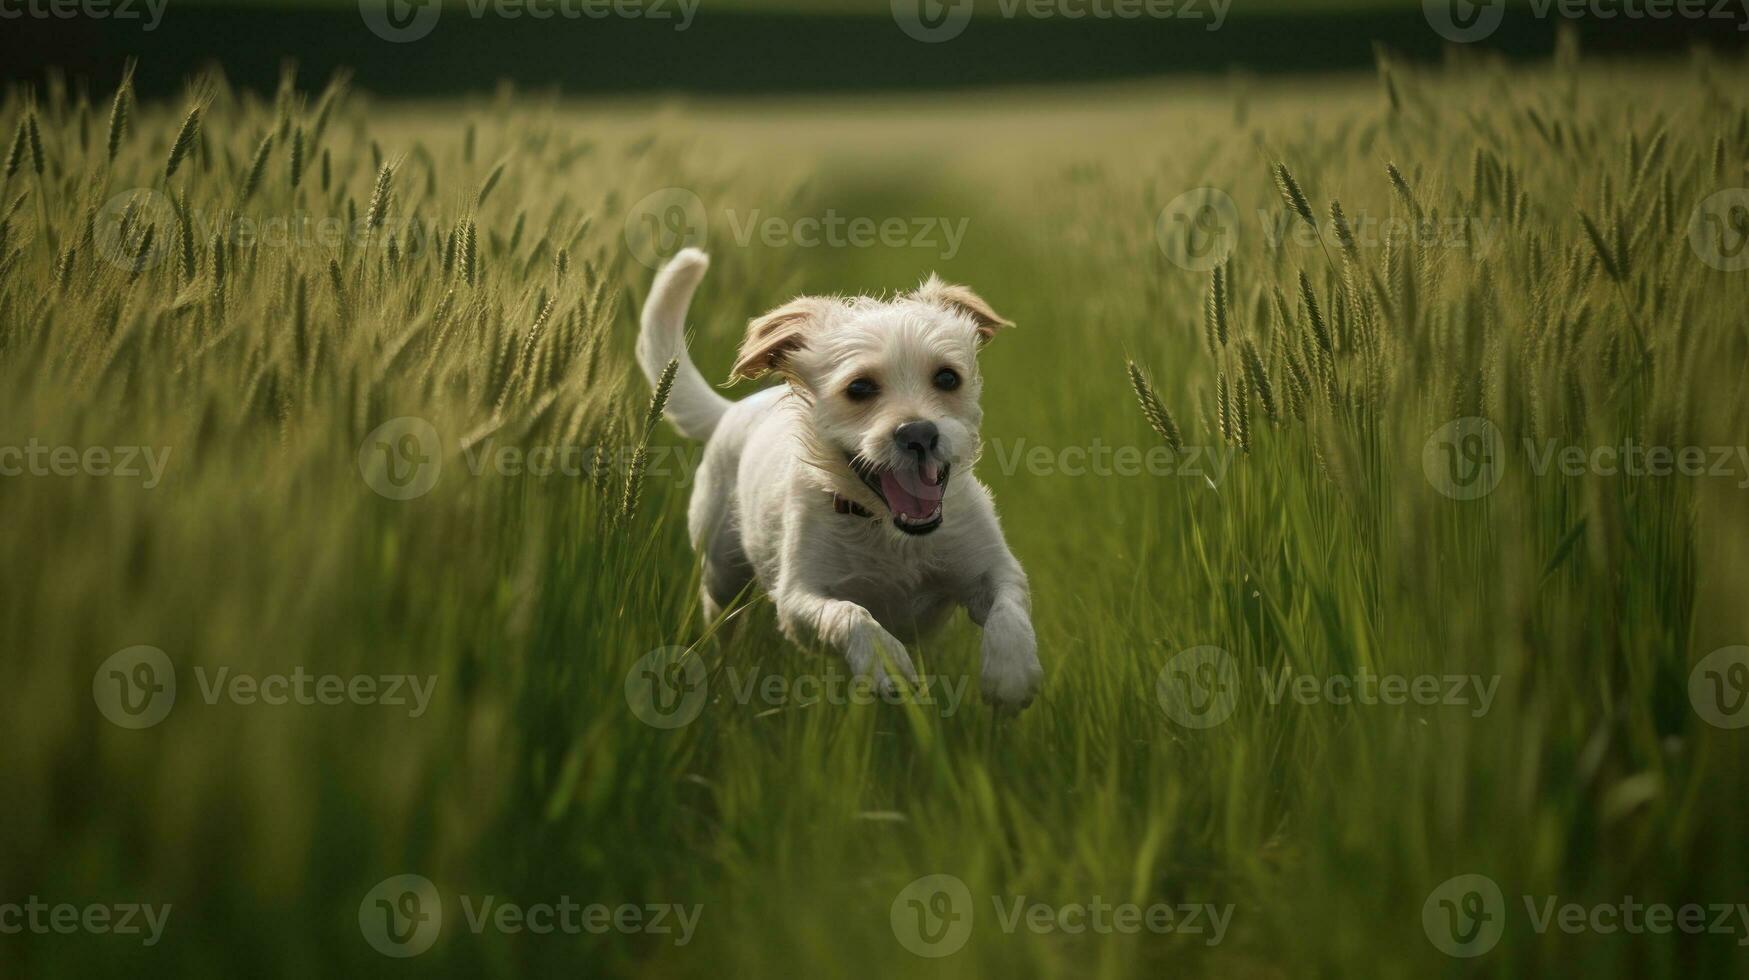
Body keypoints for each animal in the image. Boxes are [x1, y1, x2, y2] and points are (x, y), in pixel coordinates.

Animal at [636, 248, 1035, 707]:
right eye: (859, 388)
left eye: (948, 377)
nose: (918, 433)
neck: (888, 531)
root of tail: (733, 410)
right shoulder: (798, 600)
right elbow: (851, 615)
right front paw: (886, 661)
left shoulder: (994, 568)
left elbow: (1009, 607)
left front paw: (1011, 672)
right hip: (722, 573)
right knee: (723, 624)